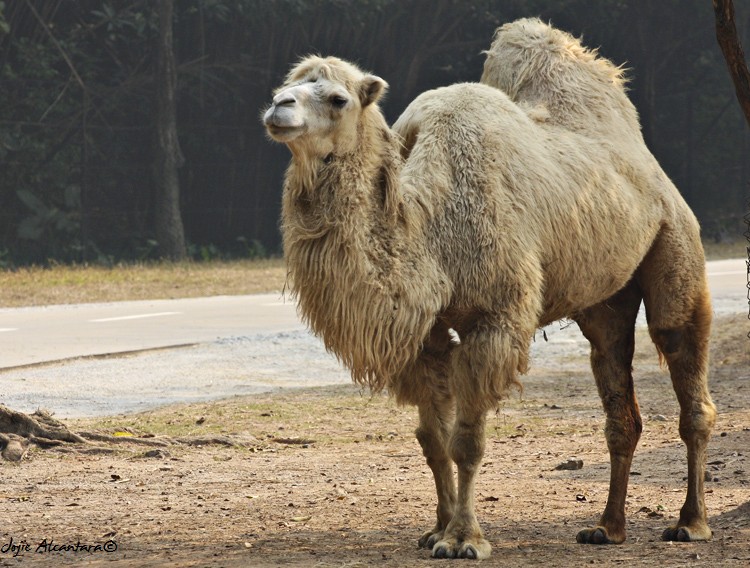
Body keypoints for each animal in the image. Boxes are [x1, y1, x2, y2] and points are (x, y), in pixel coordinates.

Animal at [262, 17, 716, 560]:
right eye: (286, 85)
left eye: (337, 98)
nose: (278, 106)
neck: (430, 229)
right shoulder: (425, 334)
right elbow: (432, 439)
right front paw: (436, 529)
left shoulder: (493, 319)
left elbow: (467, 441)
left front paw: (464, 539)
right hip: (605, 299)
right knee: (617, 393)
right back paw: (607, 527)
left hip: (676, 244)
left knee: (684, 365)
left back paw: (690, 523)